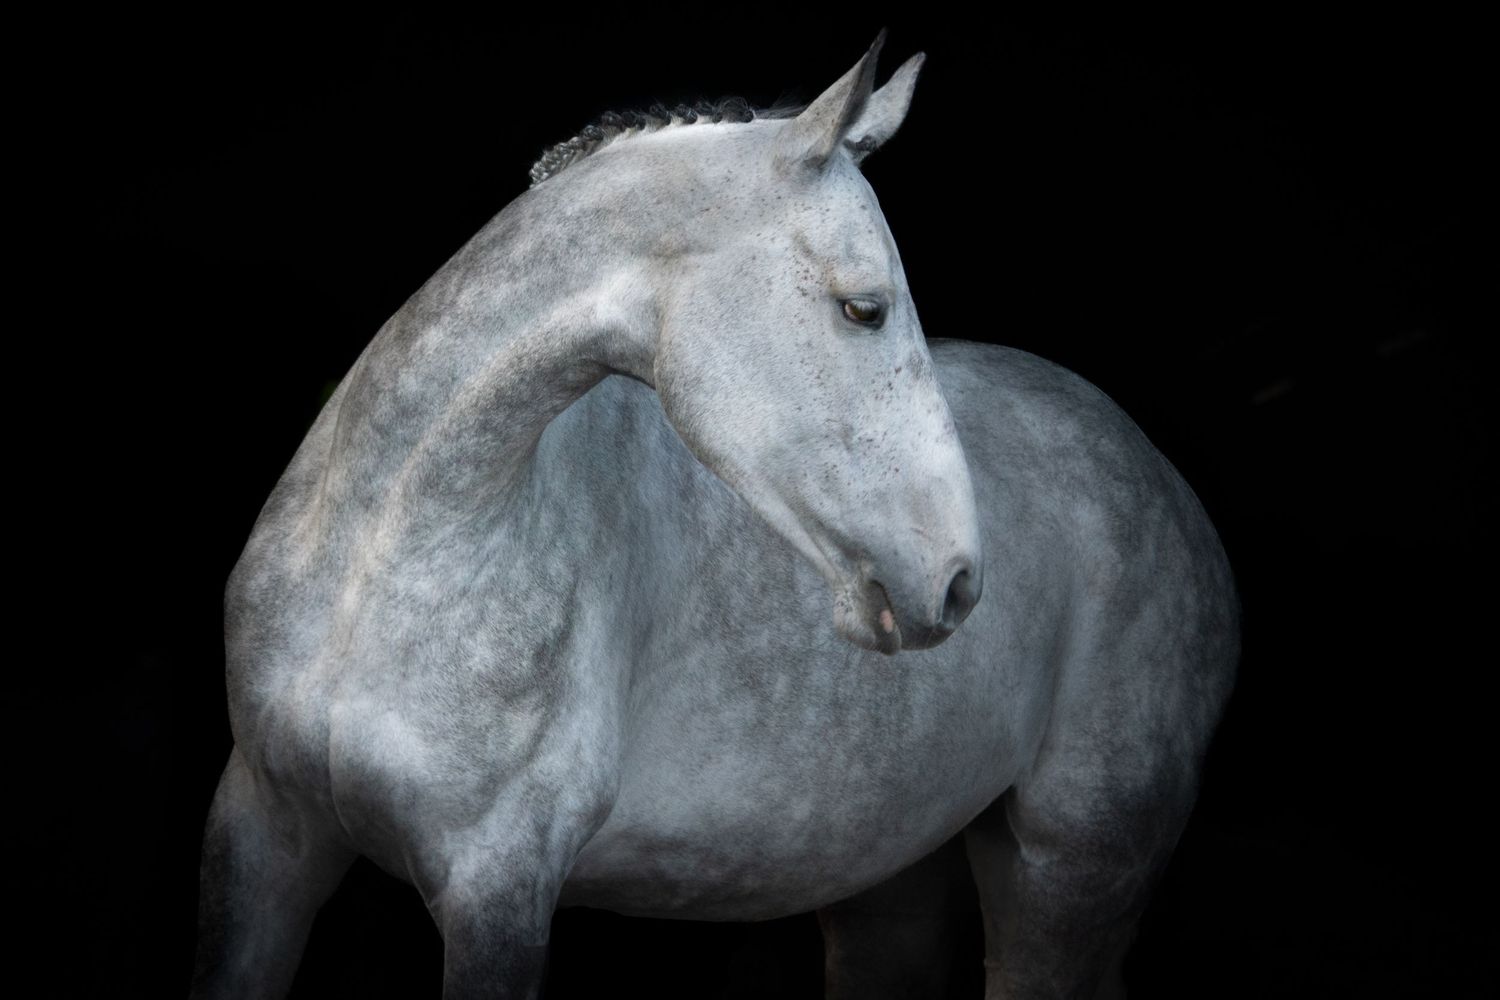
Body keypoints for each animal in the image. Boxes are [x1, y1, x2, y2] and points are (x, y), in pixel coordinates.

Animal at [189, 29, 1239, 999]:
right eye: (863, 308)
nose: (957, 580)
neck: (382, 564)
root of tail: (1162, 480)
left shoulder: (497, 885)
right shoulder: (264, 832)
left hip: (1065, 876)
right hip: (885, 886)